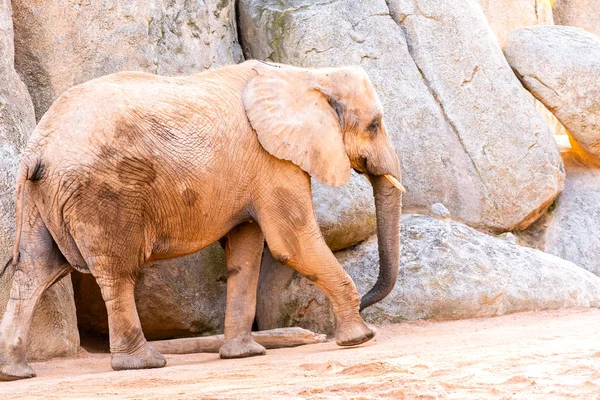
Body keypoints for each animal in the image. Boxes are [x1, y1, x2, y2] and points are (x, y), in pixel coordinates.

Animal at [1, 60, 404, 382]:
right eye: (374, 125)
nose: (368, 305)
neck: (307, 74)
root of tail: (36, 148)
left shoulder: (257, 169)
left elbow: (246, 250)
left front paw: (244, 355)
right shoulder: (273, 160)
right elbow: (292, 243)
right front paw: (360, 338)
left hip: (42, 198)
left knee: (35, 270)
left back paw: (14, 372)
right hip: (102, 194)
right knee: (116, 272)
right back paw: (144, 363)